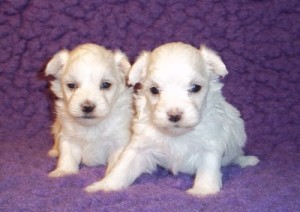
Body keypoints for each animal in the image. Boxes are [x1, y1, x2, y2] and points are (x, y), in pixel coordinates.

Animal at [44, 43, 132, 181]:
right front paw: (64, 171)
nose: (87, 107)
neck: (91, 126)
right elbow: (67, 156)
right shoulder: (68, 138)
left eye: (105, 85)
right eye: (72, 85)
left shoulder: (119, 141)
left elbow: (117, 160)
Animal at [85, 41, 260, 197]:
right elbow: (123, 168)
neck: (177, 134)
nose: (174, 115)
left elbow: (208, 170)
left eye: (195, 88)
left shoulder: (209, 146)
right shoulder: (140, 146)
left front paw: (203, 191)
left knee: (236, 155)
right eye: (154, 90)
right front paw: (104, 186)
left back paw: (247, 160)